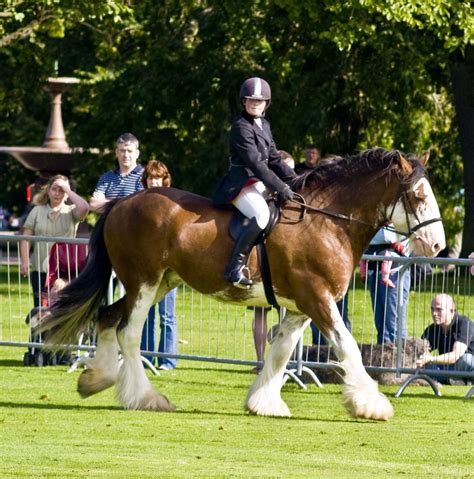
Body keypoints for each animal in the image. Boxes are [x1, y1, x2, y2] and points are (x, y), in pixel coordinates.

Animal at [39, 148, 444, 422]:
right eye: (419, 196)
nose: (438, 246)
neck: (326, 223)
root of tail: (122, 204)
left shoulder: (300, 308)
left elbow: (280, 353)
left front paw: (264, 403)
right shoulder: (318, 299)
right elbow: (348, 348)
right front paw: (371, 405)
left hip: (158, 284)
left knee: (108, 317)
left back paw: (96, 379)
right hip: (143, 282)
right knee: (128, 332)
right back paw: (145, 398)